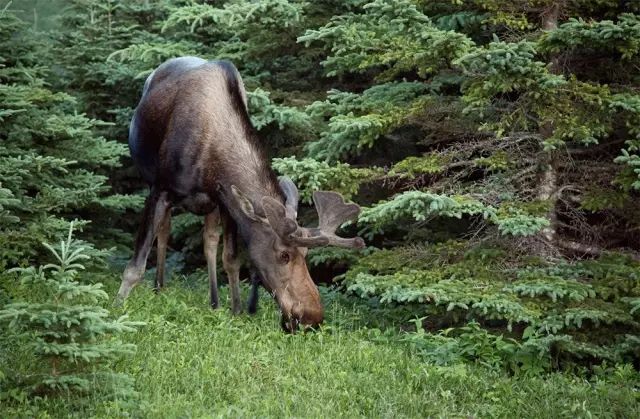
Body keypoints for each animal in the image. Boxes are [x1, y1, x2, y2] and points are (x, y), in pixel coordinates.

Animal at [116, 56, 364, 332]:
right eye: (284, 255)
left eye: (306, 254)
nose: (313, 317)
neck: (212, 158)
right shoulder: (161, 189)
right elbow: (136, 264)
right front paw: (118, 308)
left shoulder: (225, 200)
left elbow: (231, 259)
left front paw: (236, 310)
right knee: (164, 232)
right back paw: (159, 287)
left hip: (210, 206)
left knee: (209, 241)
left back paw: (213, 301)